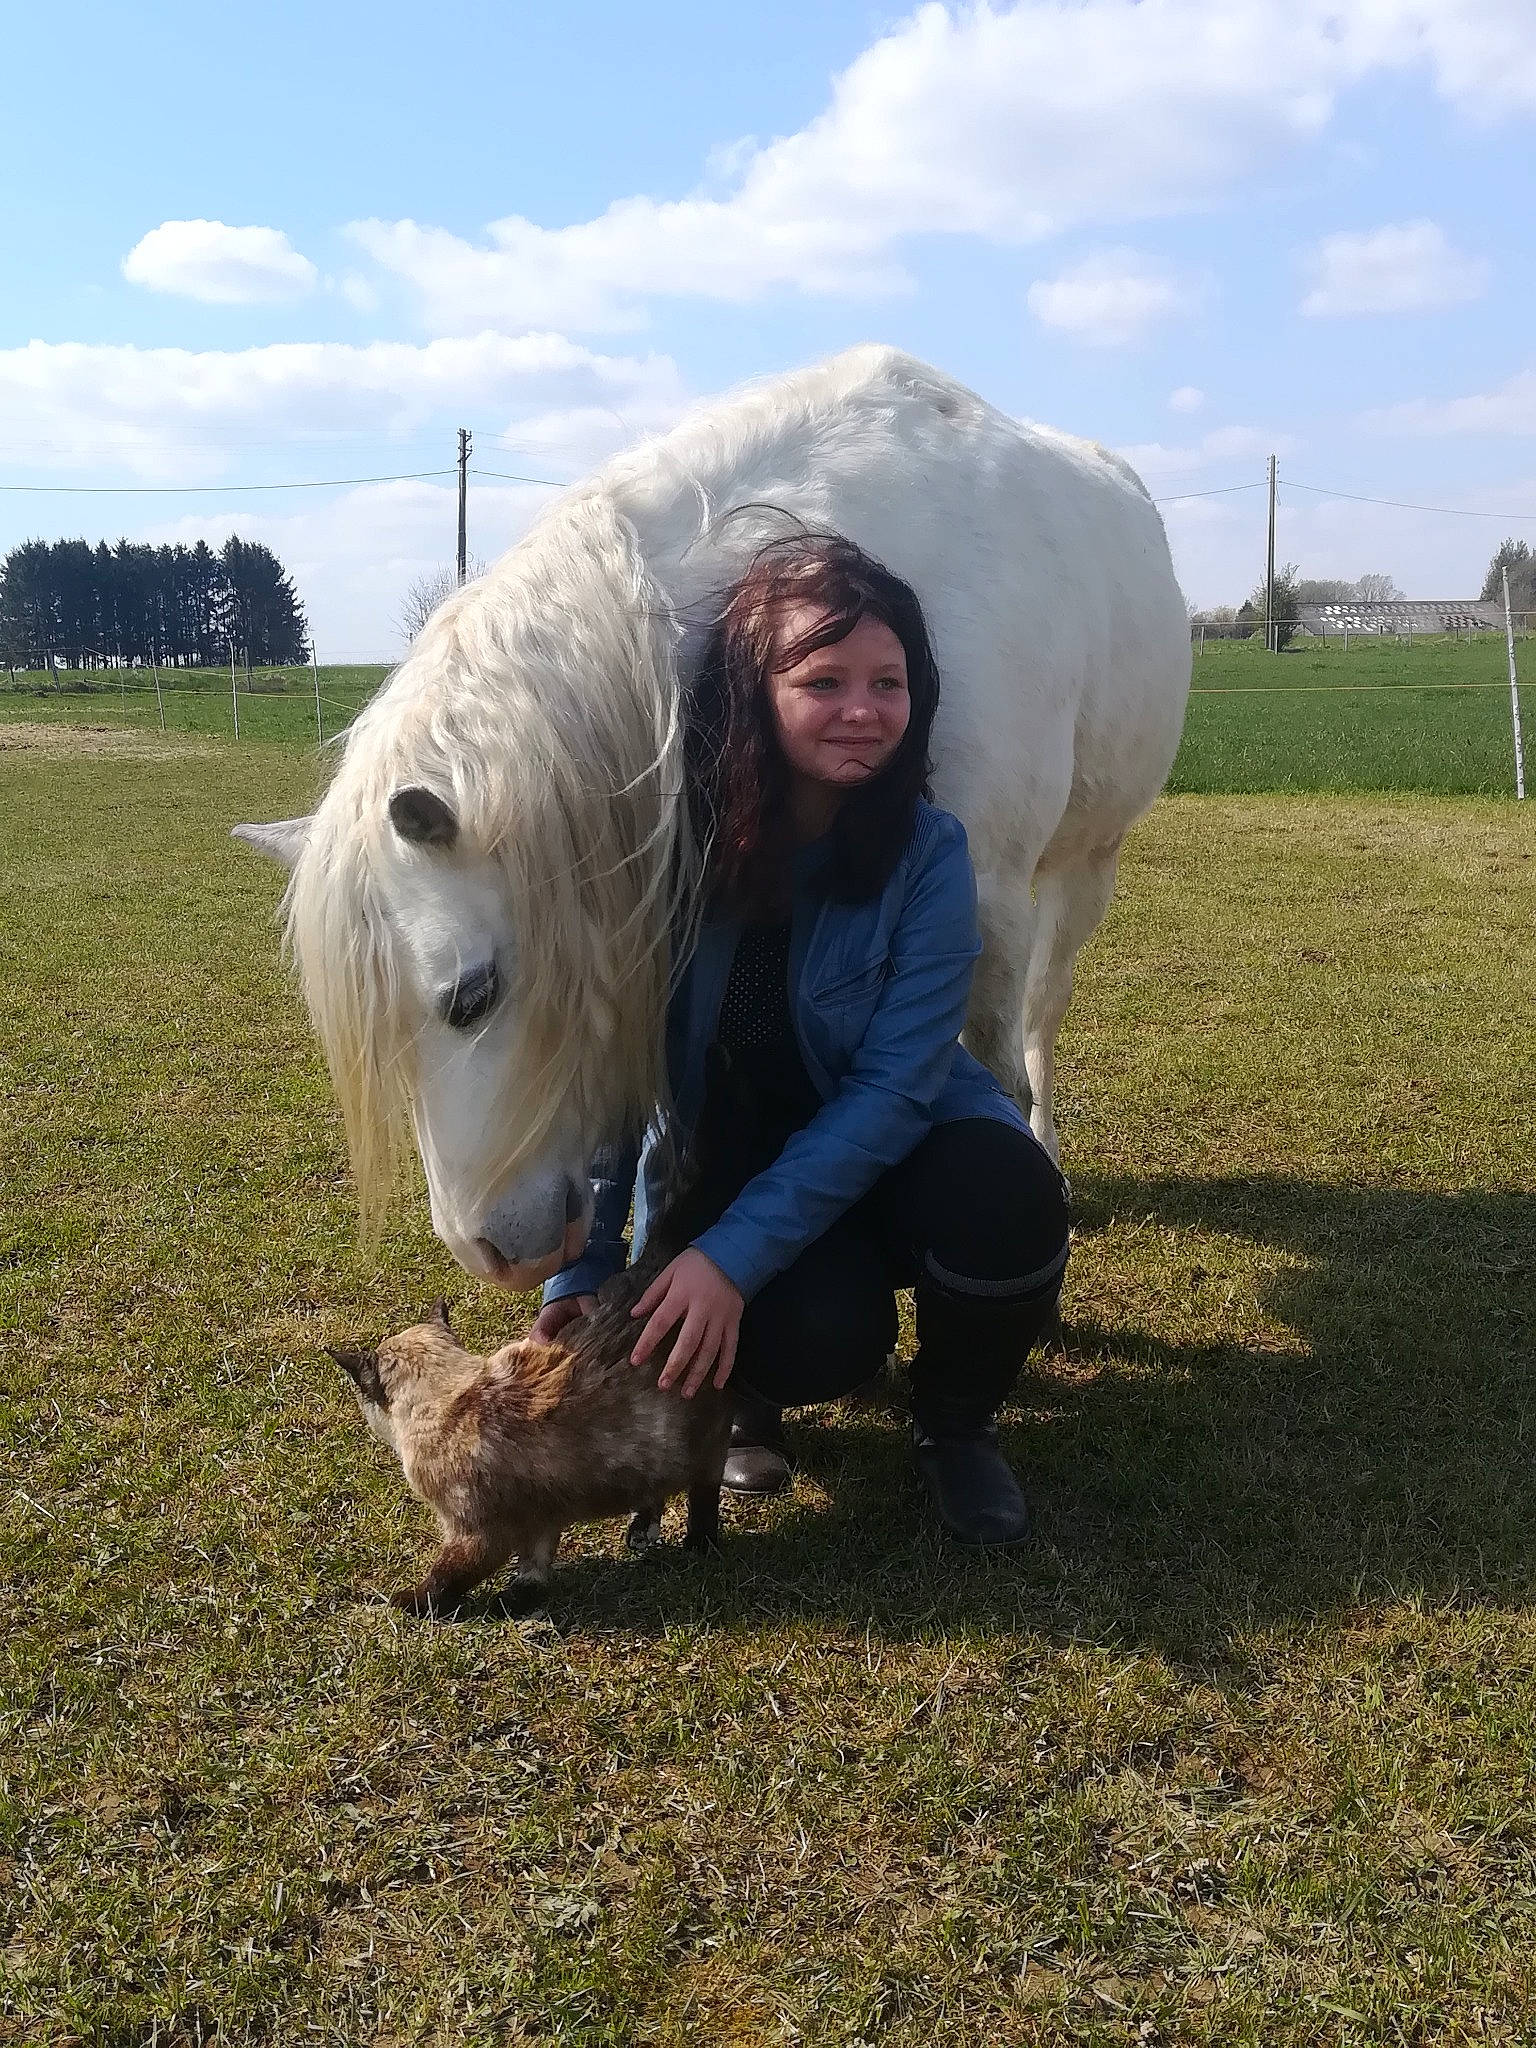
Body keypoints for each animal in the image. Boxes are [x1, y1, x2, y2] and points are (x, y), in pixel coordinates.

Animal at [234, 346, 1190, 1290]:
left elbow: (994, 1063)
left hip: (1086, 865)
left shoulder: (990, 894)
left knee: (1041, 1016)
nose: (490, 1253)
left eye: (474, 998)